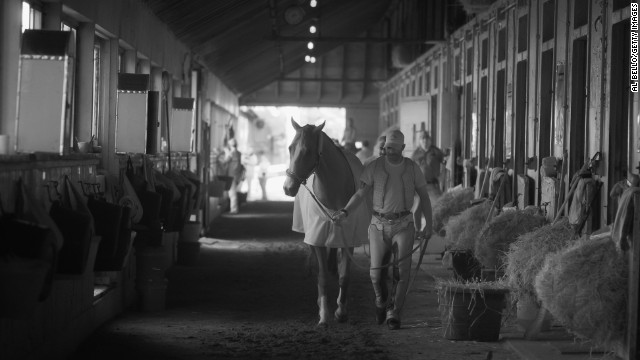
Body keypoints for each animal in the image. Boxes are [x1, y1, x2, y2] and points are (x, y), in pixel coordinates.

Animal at [284, 119, 370, 326]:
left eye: (307, 151)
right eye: (290, 148)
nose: (288, 188)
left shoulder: (349, 238)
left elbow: (345, 276)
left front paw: (341, 311)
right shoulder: (317, 237)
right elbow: (321, 276)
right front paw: (324, 314)